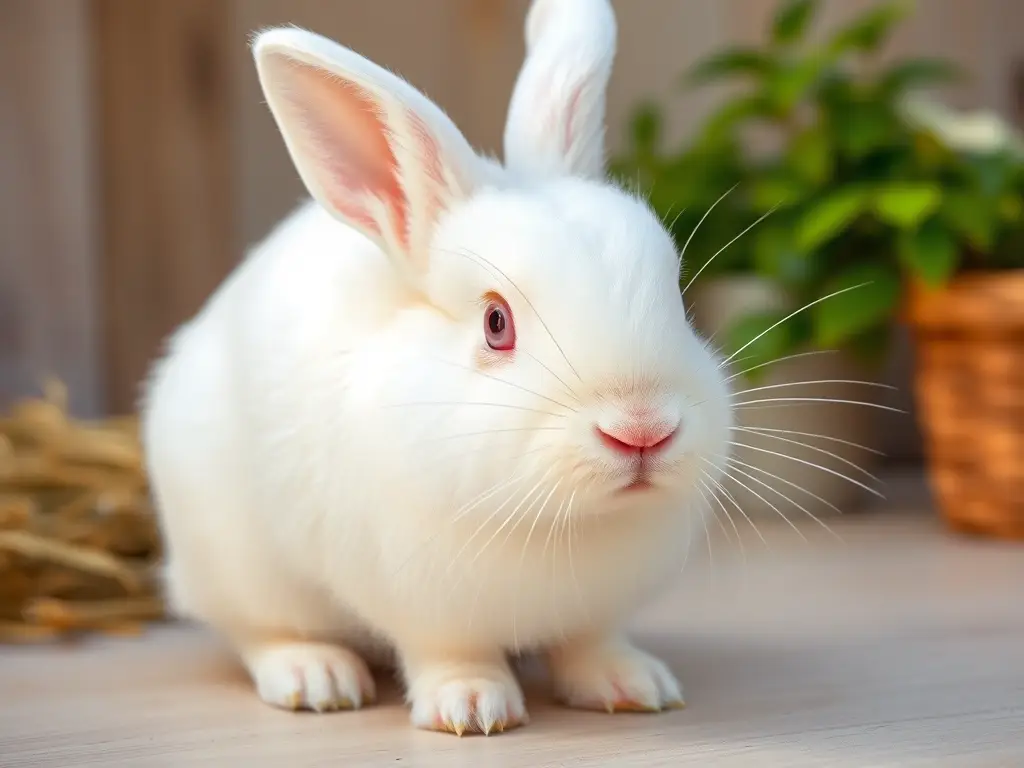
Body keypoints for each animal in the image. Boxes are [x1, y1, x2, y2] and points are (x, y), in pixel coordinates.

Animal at [141, 0, 733, 737]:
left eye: (677, 299)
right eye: (496, 324)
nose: (642, 429)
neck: (563, 521)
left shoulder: (594, 612)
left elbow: (590, 641)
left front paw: (632, 684)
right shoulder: (423, 603)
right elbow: (450, 654)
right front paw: (472, 709)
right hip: (239, 566)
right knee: (258, 632)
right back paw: (316, 678)